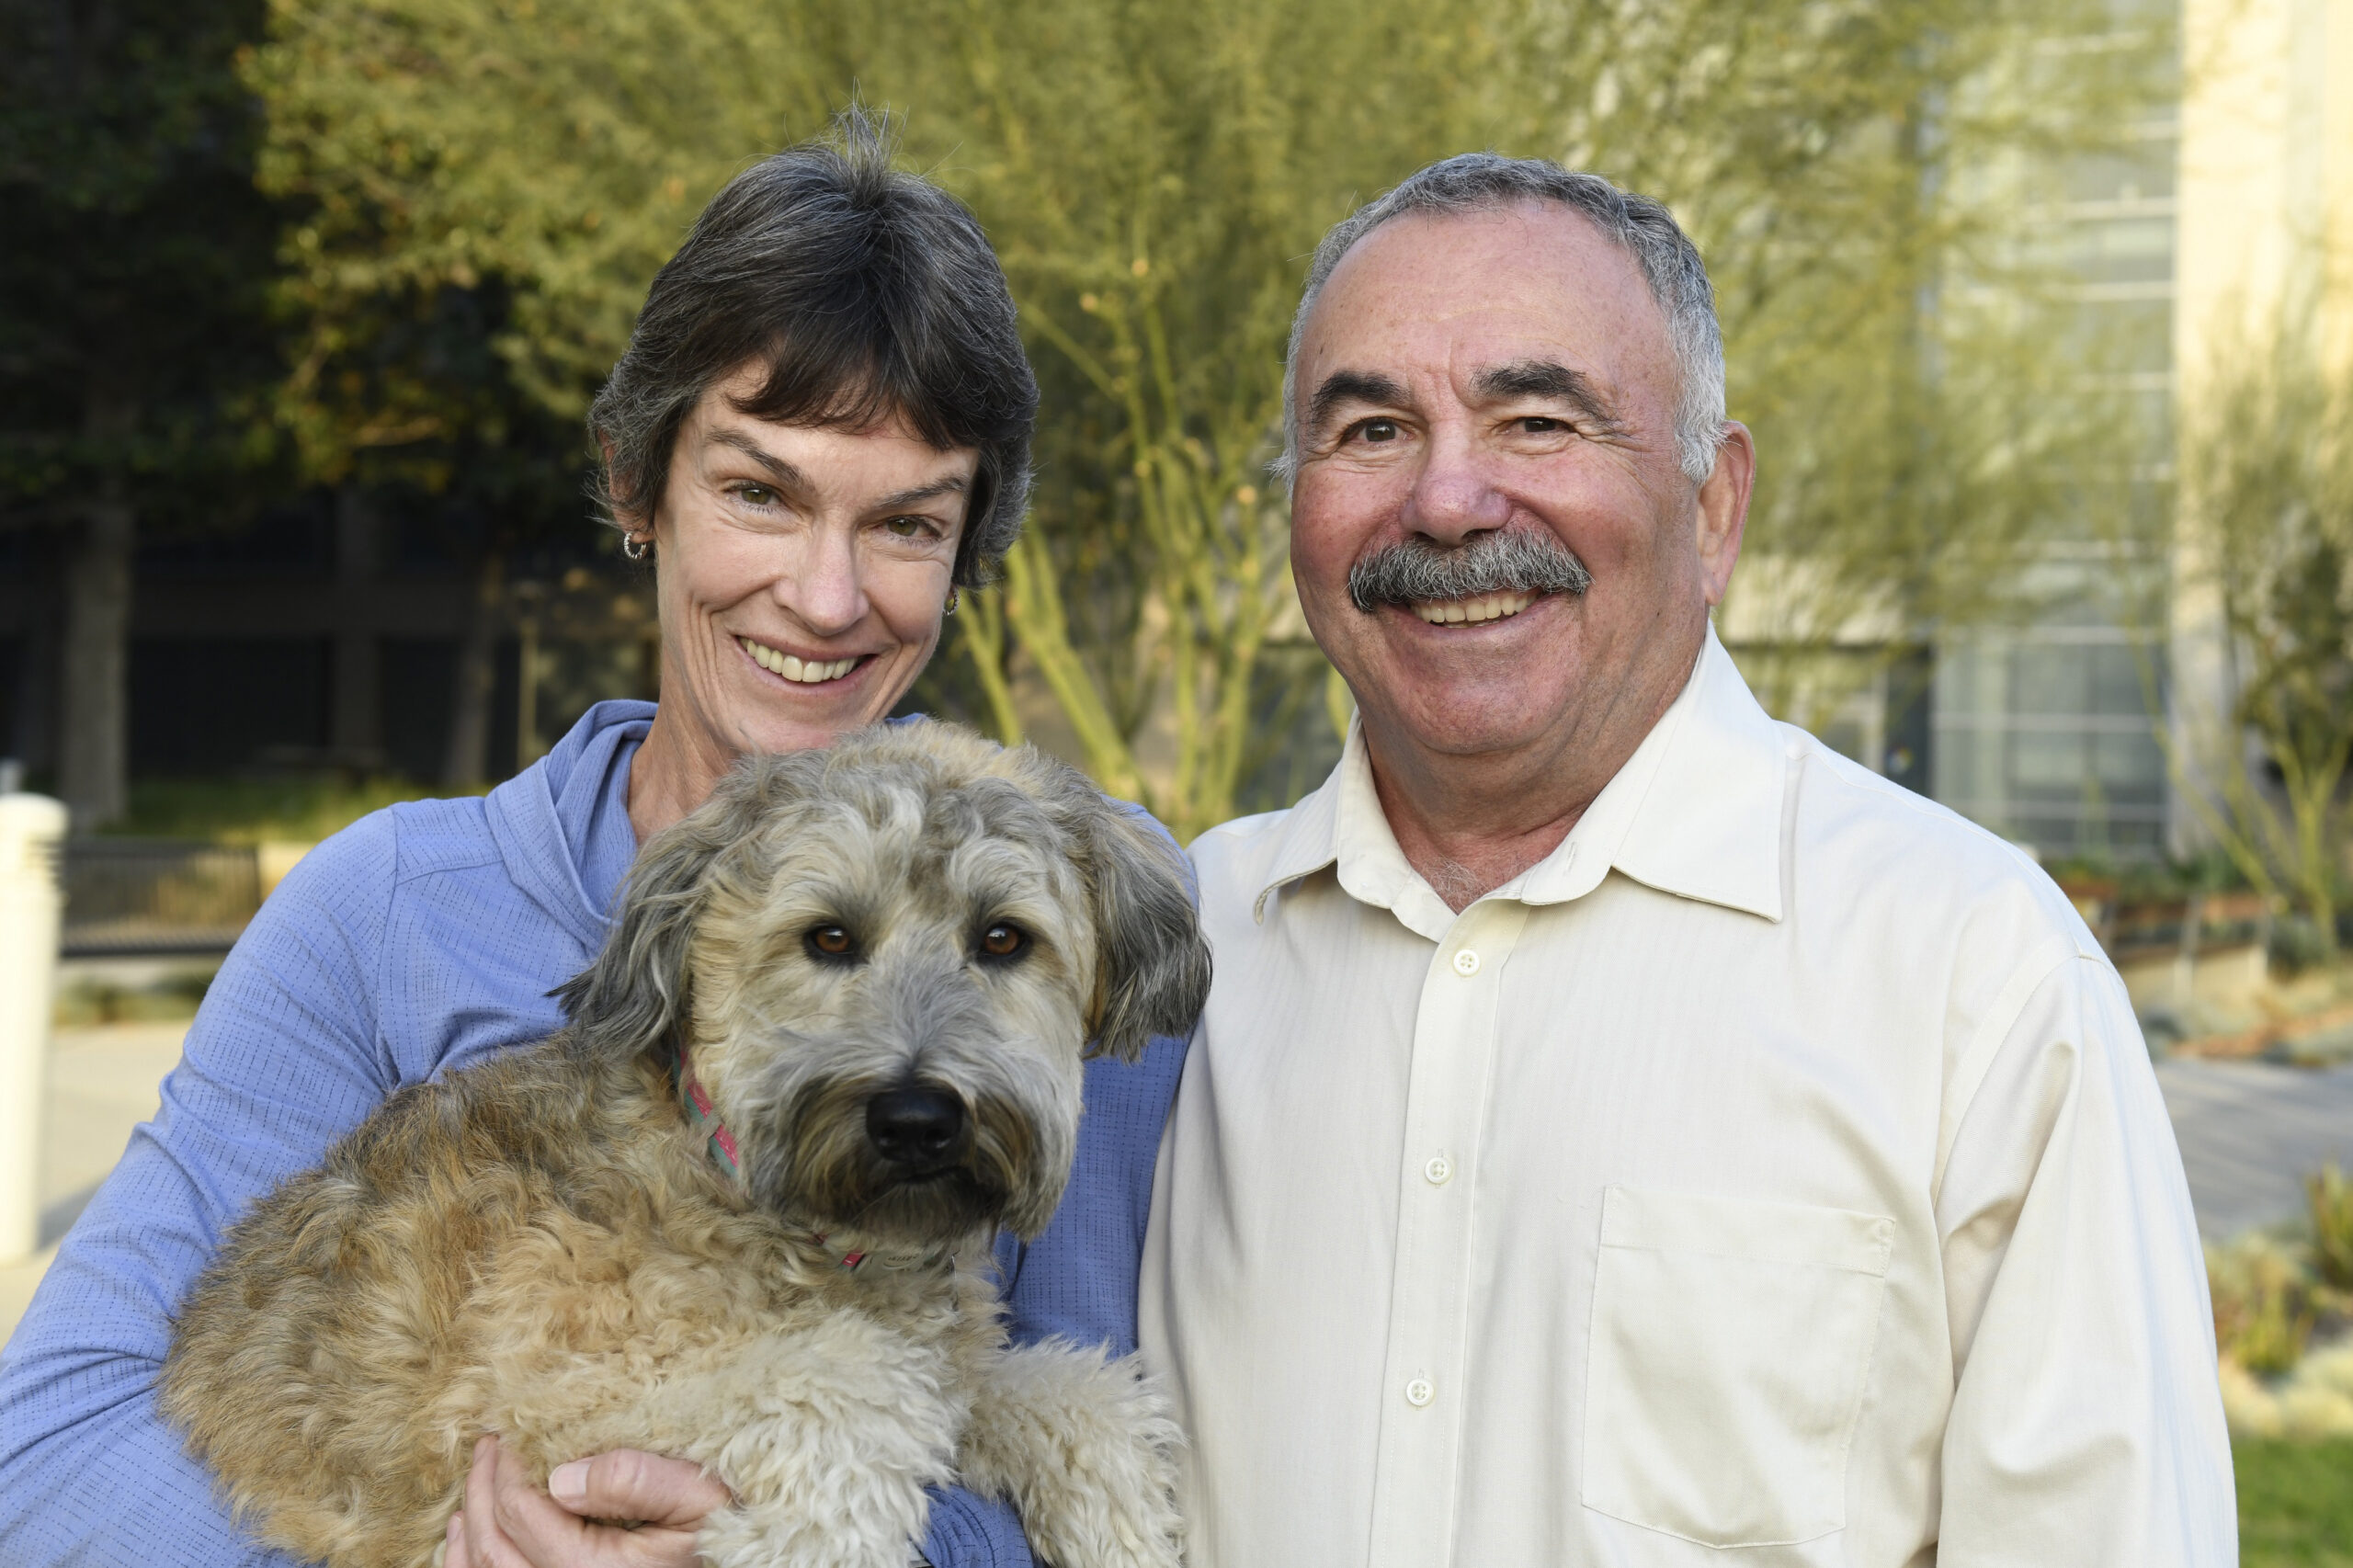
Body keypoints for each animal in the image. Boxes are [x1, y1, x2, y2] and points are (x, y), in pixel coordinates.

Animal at [161, 720, 1213, 1562]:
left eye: (1002, 939)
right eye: (829, 938)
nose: (917, 1121)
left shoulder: (964, 1368)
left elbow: (1076, 1395)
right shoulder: (543, 1405)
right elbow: (855, 1387)